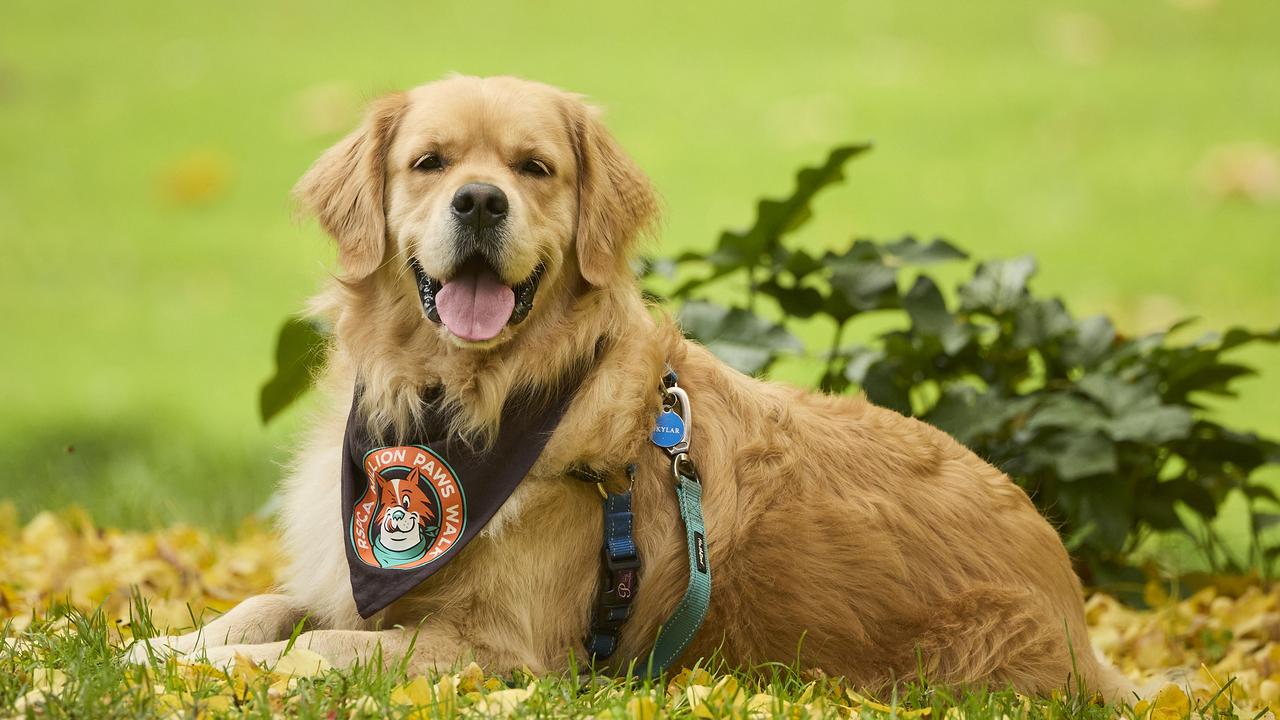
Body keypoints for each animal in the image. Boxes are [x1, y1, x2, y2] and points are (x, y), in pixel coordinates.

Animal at [129, 75, 1131, 696]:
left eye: (534, 167)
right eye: (430, 162)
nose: (480, 201)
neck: (468, 398)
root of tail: (1077, 615)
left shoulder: (497, 653)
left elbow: (315, 649)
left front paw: (188, 667)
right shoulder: (354, 575)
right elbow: (264, 609)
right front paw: (155, 643)